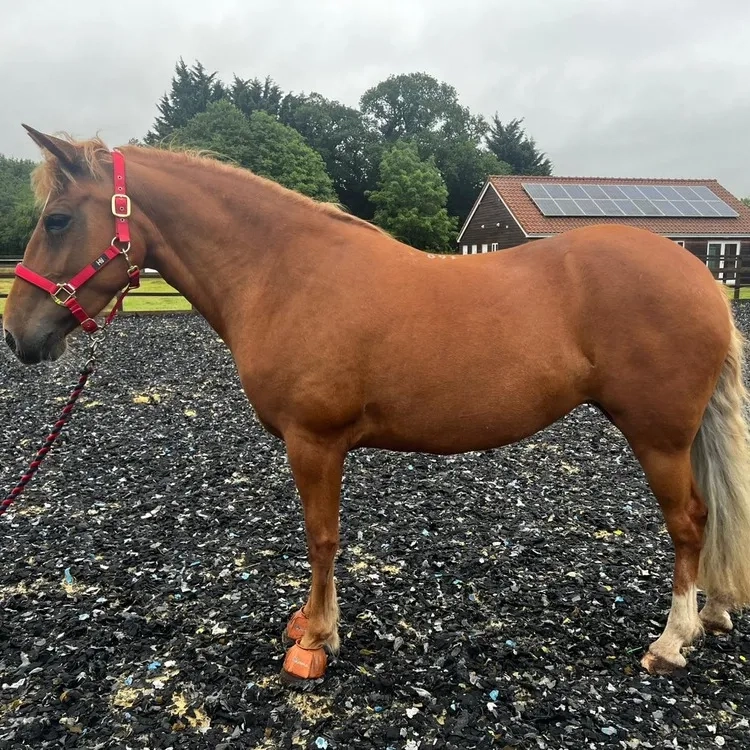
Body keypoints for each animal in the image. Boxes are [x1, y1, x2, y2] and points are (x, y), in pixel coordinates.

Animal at [4, 125, 750, 685]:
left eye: (58, 219)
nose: (18, 336)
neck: (284, 273)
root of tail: (702, 277)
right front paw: (313, 625)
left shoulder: (313, 441)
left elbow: (321, 538)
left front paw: (314, 641)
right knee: (709, 517)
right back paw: (712, 615)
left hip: (657, 436)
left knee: (689, 523)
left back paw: (671, 641)